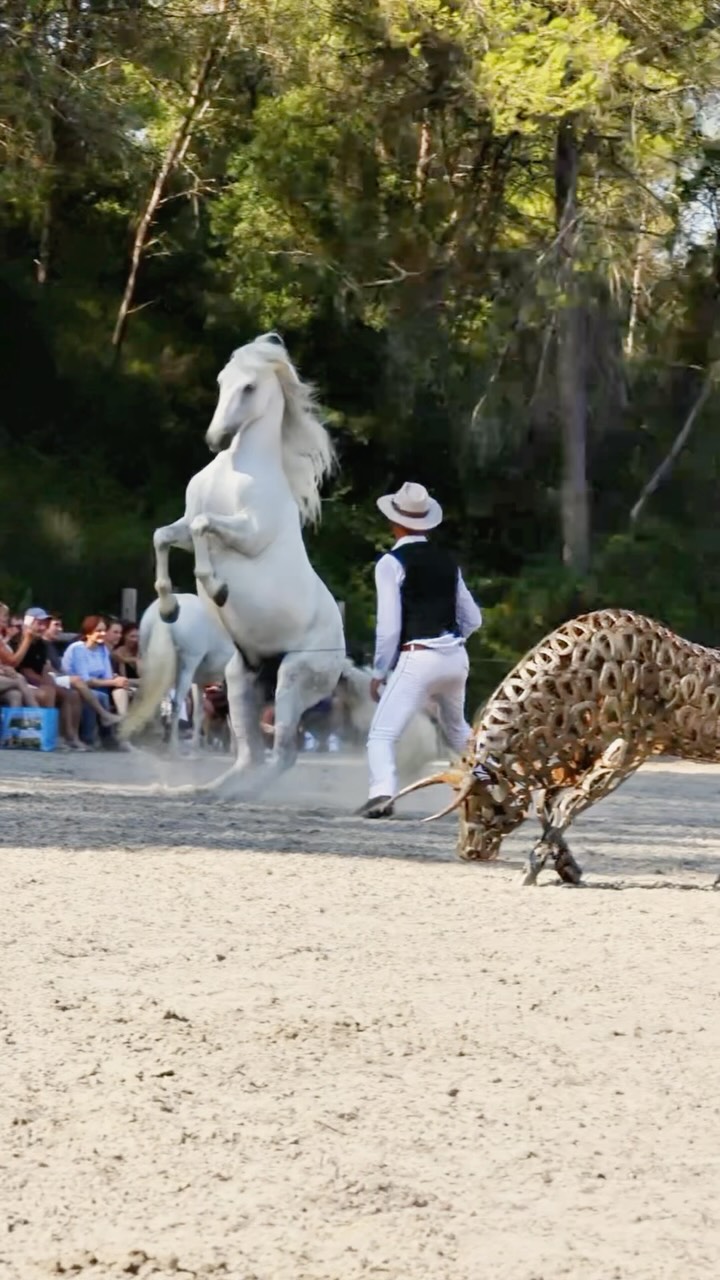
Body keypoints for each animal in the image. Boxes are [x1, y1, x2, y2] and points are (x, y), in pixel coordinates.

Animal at [121, 594, 235, 752]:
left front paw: (196, 747)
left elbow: (199, 713)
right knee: (175, 704)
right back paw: (173, 747)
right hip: (186, 667)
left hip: (150, 661)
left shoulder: (199, 681)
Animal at [145, 333, 345, 798]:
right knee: (250, 754)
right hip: (240, 680)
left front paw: (215, 587)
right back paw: (208, 791)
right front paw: (168, 606)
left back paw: (240, 794)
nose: (216, 439)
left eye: (250, 387)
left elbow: (203, 527)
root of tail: (342, 660)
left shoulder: (249, 535)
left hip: (292, 678)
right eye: (222, 380)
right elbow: (164, 535)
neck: (237, 469)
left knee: (283, 754)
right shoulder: (183, 528)